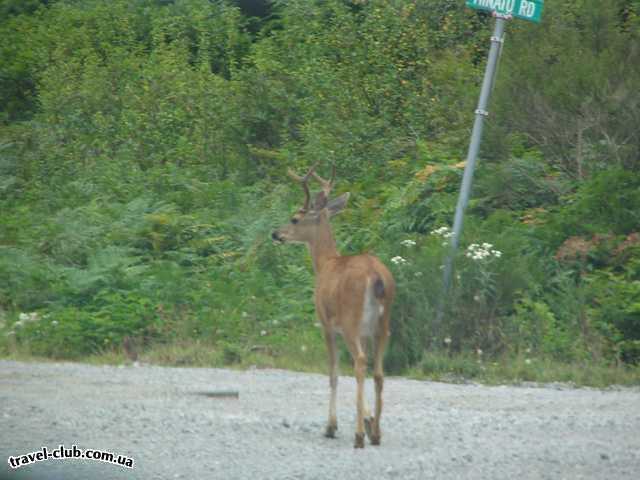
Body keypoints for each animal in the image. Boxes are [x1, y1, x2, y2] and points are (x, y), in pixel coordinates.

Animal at [270, 163, 396, 448]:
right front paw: (369, 420)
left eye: (295, 218)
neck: (325, 263)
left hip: (351, 321)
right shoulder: (365, 332)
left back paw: (359, 436)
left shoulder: (325, 324)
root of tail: (376, 277)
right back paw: (377, 434)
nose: (276, 234)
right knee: (378, 372)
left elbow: (334, 373)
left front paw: (332, 425)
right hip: (383, 325)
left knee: (359, 363)